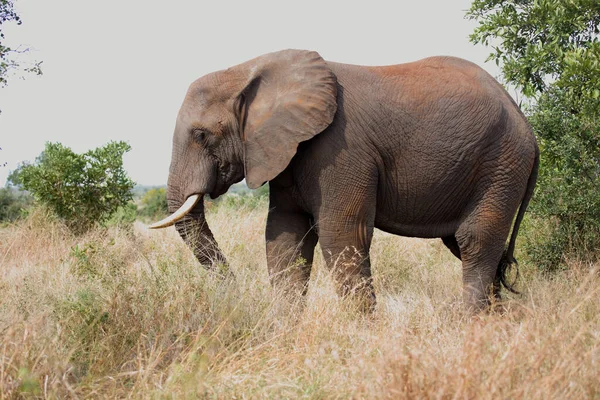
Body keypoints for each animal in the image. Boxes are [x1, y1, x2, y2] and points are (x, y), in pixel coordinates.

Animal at [150, 49, 540, 312]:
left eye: (201, 135)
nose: (236, 289)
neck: (248, 70)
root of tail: (526, 124)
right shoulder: (288, 151)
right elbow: (284, 236)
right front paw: (285, 328)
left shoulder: (339, 149)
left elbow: (342, 233)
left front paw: (362, 333)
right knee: (467, 246)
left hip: (502, 161)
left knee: (475, 242)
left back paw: (472, 325)